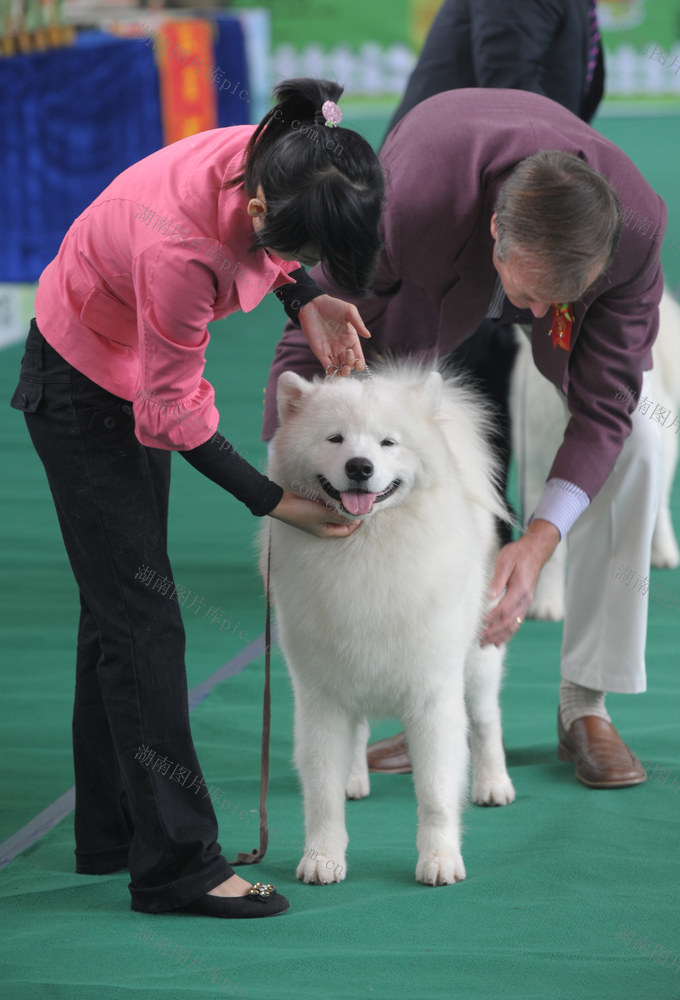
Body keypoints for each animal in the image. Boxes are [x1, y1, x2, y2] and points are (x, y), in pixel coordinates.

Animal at [266, 364, 516, 888]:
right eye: (335, 438)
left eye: (388, 443)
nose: (360, 467)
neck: (366, 548)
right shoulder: (322, 696)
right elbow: (321, 793)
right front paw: (323, 858)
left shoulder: (433, 695)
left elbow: (437, 792)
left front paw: (439, 860)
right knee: (359, 735)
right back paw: (355, 779)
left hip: (478, 659)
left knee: (486, 719)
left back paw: (492, 783)